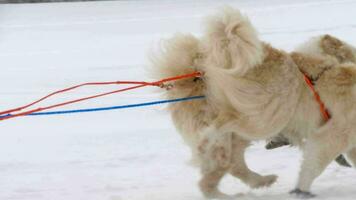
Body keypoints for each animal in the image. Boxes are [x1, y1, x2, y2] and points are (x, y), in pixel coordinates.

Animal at [150, 7, 356, 198]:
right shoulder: (334, 133)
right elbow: (314, 163)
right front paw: (301, 190)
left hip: (243, 130)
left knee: (225, 170)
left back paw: (257, 182)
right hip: (269, 114)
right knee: (220, 131)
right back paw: (208, 145)